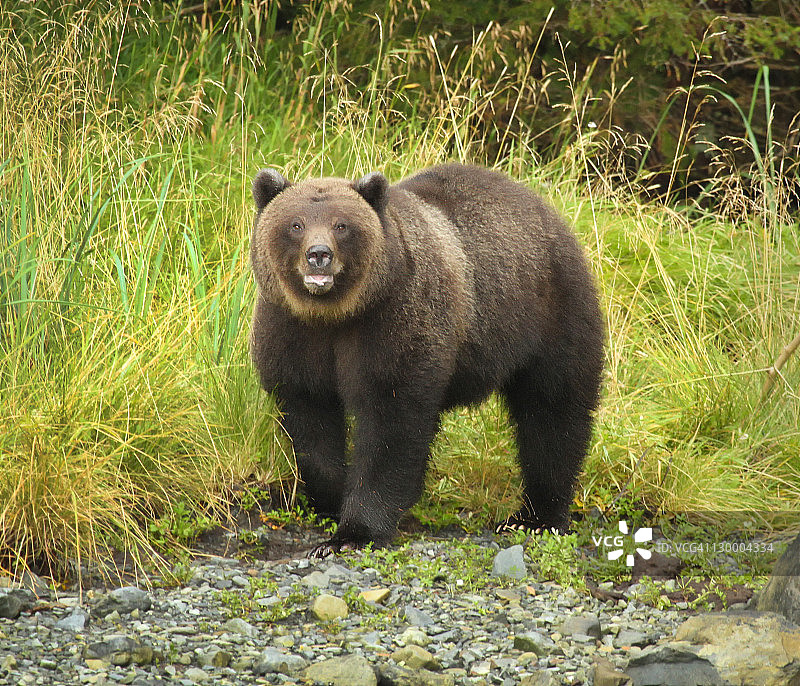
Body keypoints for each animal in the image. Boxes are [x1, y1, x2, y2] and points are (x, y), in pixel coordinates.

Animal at [249, 163, 604, 557]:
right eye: (295, 224)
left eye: (342, 224)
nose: (319, 254)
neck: (334, 315)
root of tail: (544, 209)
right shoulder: (292, 332)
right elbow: (310, 421)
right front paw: (330, 500)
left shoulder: (393, 321)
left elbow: (392, 425)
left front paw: (354, 532)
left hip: (548, 314)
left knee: (553, 412)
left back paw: (536, 516)